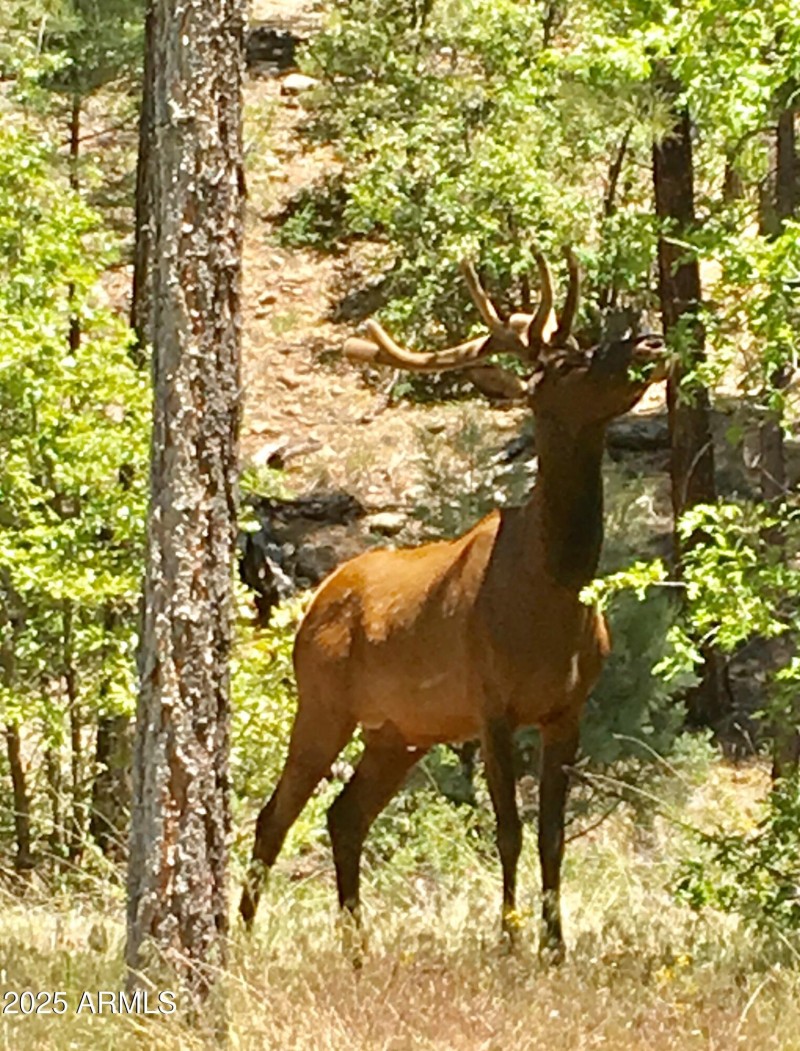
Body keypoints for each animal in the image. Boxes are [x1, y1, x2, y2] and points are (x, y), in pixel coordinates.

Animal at [239, 248, 668, 962]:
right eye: (566, 364)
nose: (652, 341)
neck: (552, 595)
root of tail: (314, 603)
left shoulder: (568, 708)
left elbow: (553, 837)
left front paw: (556, 947)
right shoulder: (491, 703)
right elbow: (509, 829)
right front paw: (509, 942)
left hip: (399, 731)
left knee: (343, 815)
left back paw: (356, 945)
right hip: (322, 701)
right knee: (275, 815)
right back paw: (238, 941)